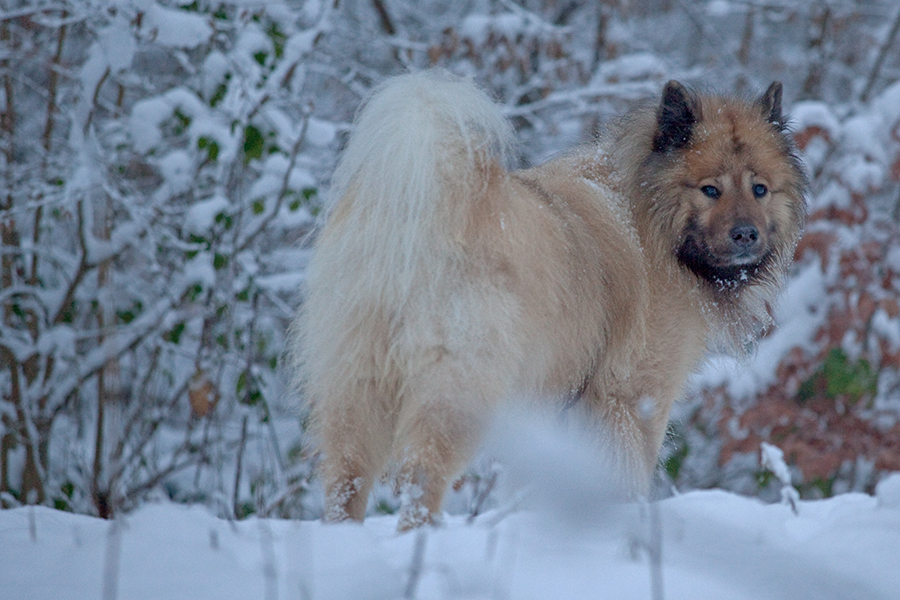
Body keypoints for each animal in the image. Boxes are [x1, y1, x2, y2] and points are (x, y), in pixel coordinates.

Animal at [290, 71, 808, 528]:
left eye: (760, 189)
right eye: (710, 189)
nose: (747, 235)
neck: (646, 215)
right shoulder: (632, 397)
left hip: (356, 385)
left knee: (347, 479)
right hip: (458, 388)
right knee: (422, 478)